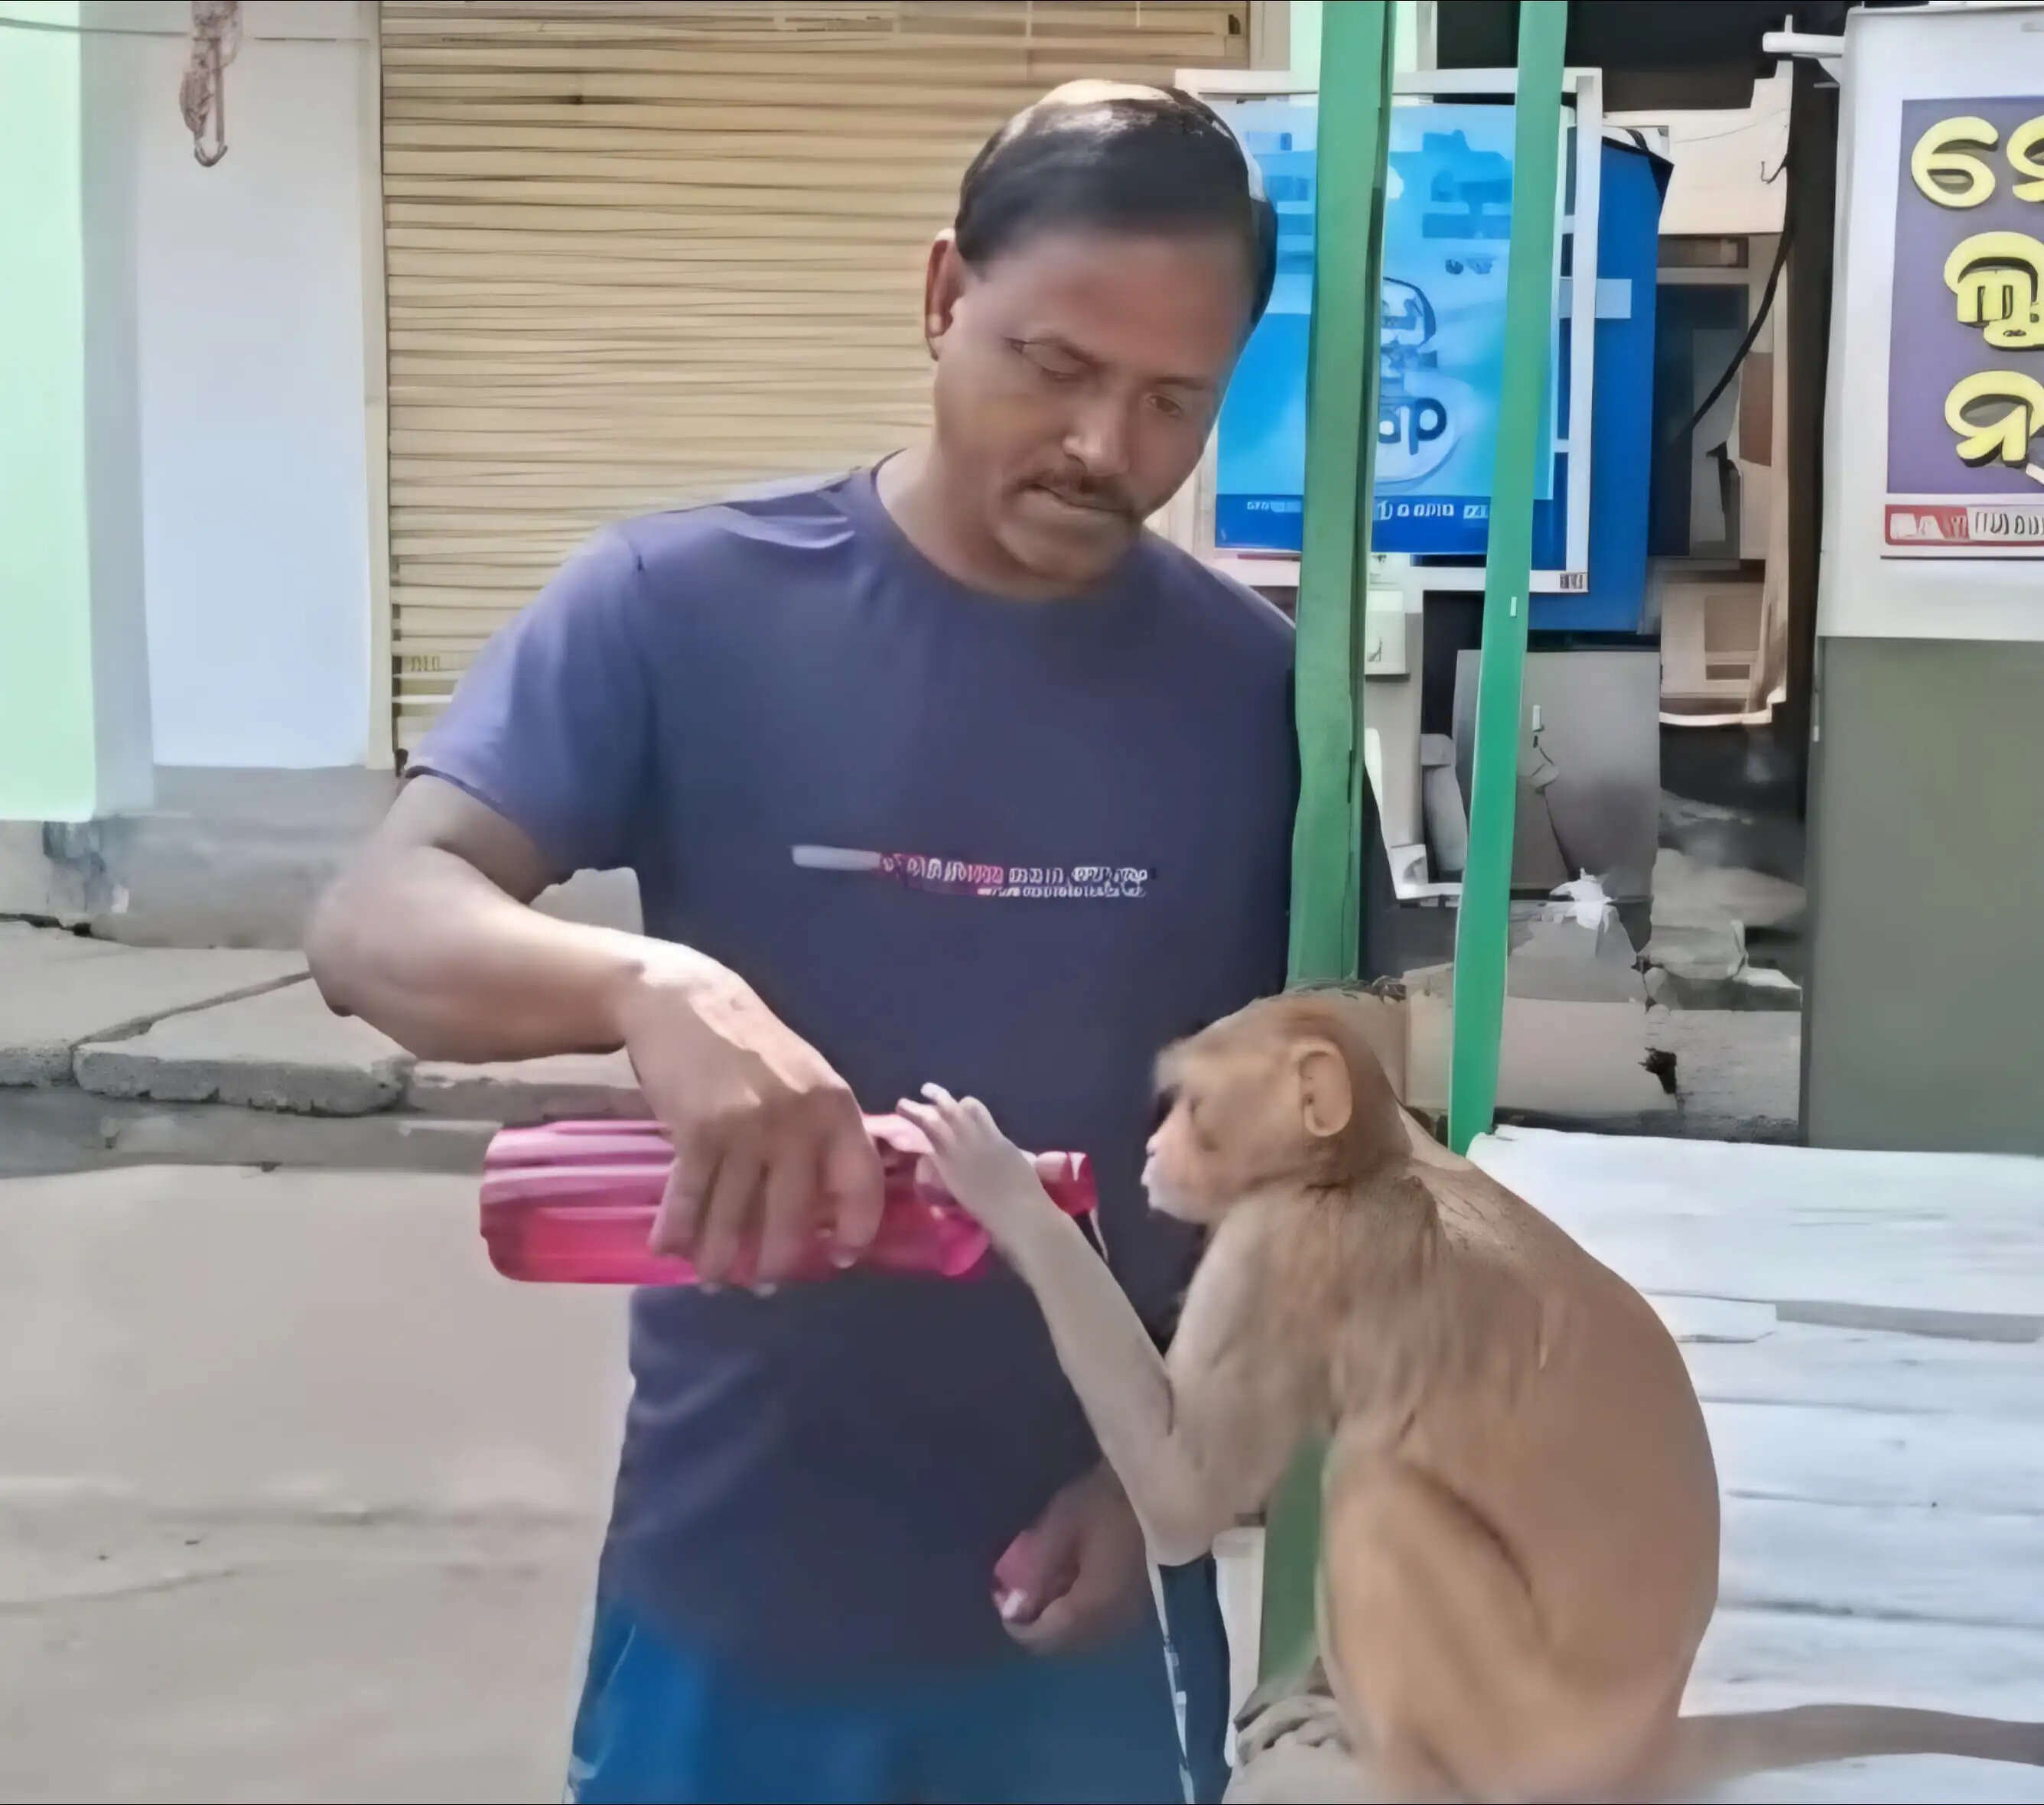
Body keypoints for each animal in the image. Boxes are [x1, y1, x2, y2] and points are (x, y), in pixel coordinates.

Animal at [898, 989, 2044, 1804]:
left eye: (1191, 1104)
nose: (1148, 1150)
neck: (1369, 1156)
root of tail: (1642, 1740)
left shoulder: (1282, 1239)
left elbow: (1183, 1495)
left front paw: (1003, 1190)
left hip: (1522, 1734)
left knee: (1373, 1495)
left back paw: (1381, 1760)